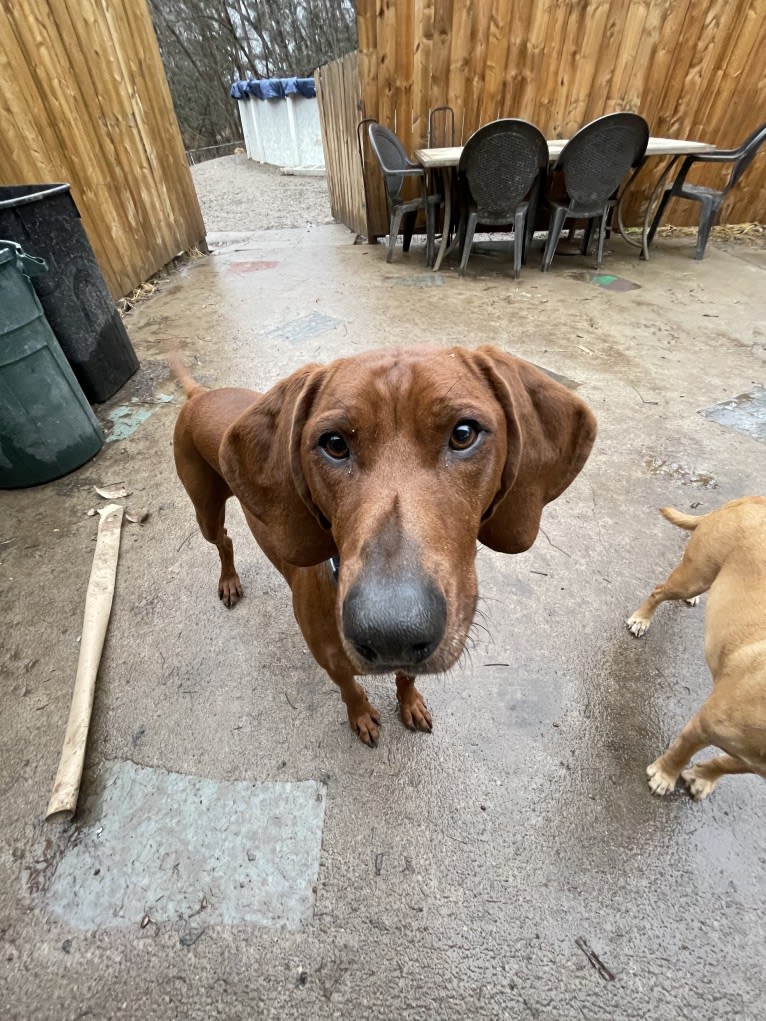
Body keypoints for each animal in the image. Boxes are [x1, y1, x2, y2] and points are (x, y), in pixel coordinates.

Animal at [173, 343, 600, 743]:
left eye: (463, 434)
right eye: (334, 443)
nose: (391, 633)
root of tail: (199, 394)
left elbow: (407, 677)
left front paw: (409, 703)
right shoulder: (331, 660)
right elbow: (350, 689)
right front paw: (361, 715)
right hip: (205, 510)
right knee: (224, 540)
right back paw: (229, 581)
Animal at [629, 498, 766, 800]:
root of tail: (752, 499)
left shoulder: (754, 763)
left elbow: (723, 765)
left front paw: (703, 777)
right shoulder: (703, 726)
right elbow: (682, 752)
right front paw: (665, 775)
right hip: (693, 576)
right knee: (659, 591)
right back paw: (642, 619)